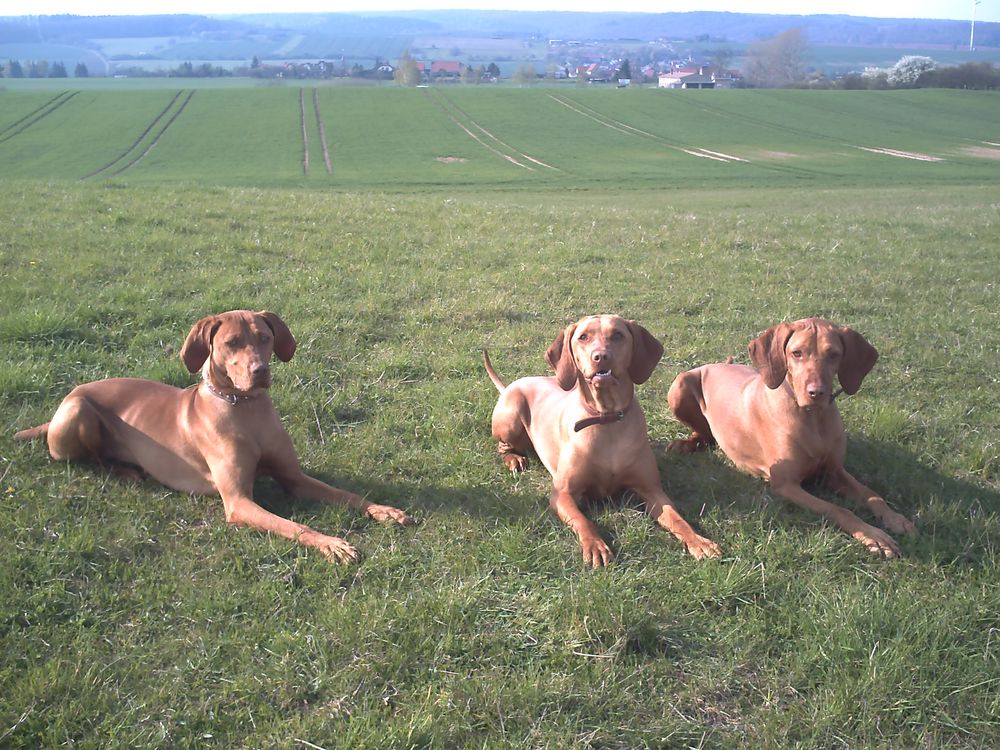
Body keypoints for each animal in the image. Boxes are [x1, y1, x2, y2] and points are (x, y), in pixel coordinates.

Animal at [12, 308, 410, 560]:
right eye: (232, 342)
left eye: (264, 338)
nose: (260, 371)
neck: (245, 410)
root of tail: (62, 405)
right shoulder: (238, 502)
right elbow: (294, 525)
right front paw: (332, 544)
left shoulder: (294, 478)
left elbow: (347, 494)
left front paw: (383, 510)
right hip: (78, 411)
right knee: (91, 459)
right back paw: (125, 470)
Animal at [484, 314, 720, 568]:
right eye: (583, 337)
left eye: (618, 335)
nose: (601, 356)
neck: (606, 419)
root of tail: (511, 384)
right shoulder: (562, 493)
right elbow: (583, 521)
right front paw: (595, 545)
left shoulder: (651, 489)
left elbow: (677, 518)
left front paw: (698, 541)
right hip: (511, 416)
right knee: (503, 446)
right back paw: (514, 459)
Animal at [672, 318, 916, 560]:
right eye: (797, 353)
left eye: (834, 354)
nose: (816, 392)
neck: (812, 418)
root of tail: (718, 364)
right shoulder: (786, 485)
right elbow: (837, 508)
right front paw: (872, 534)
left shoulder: (834, 471)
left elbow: (872, 495)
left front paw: (894, 519)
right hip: (679, 385)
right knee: (704, 433)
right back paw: (684, 444)